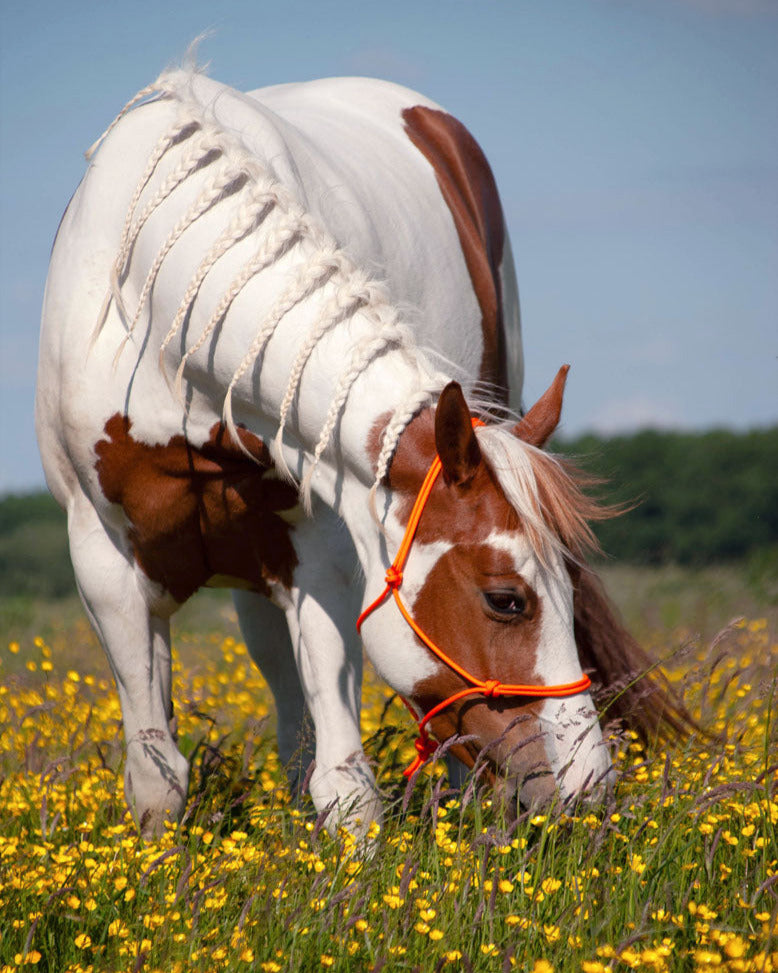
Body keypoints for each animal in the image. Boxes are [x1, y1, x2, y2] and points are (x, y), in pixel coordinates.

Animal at [36, 66, 684, 840]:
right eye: (506, 600)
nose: (591, 786)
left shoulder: (324, 556)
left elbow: (346, 789)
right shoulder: (105, 564)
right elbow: (157, 778)